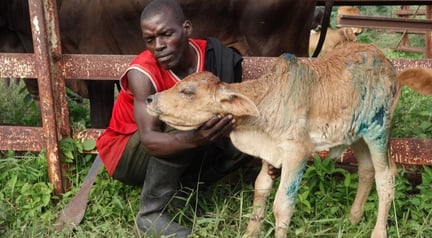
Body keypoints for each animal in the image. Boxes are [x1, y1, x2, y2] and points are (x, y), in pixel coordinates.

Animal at [145, 43, 432, 238]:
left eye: (187, 91)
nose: (150, 99)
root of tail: (389, 64)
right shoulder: (269, 153)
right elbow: (260, 189)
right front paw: (250, 232)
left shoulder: (297, 152)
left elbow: (282, 204)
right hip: (356, 135)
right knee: (366, 170)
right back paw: (352, 219)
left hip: (378, 131)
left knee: (386, 176)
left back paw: (378, 231)